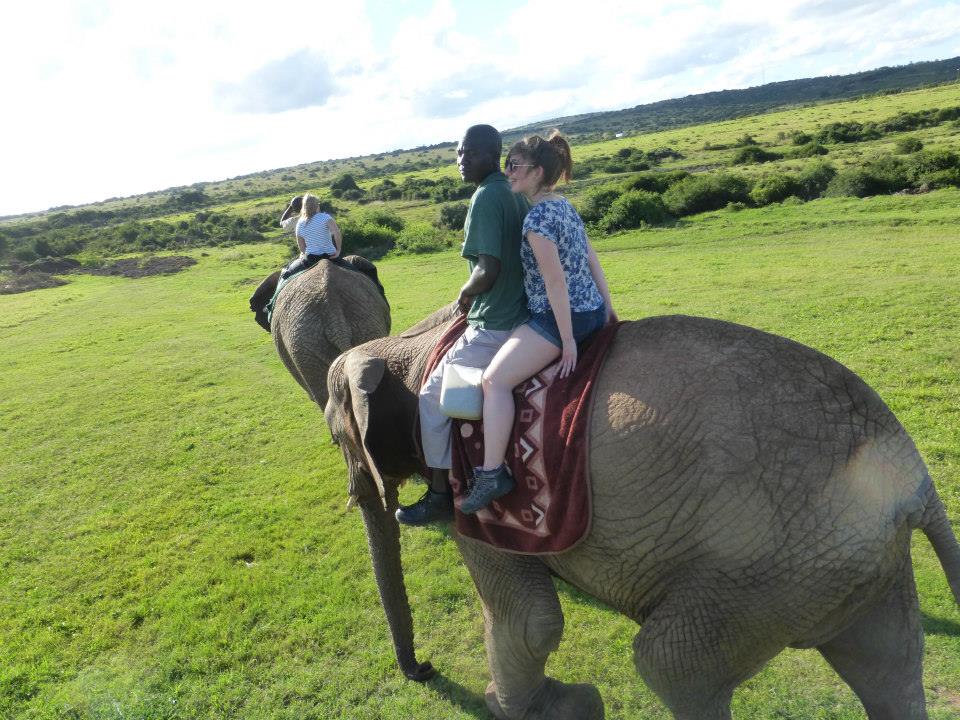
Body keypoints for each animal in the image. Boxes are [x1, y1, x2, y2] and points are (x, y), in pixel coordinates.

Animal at [323, 304, 960, 720]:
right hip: (849, 568)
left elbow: (528, 619)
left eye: (334, 437)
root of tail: (915, 480)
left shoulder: (475, 488)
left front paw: (515, 707)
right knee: (887, 666)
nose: (425, 671)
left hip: (774, 570)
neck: (410, 346)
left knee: (670, 665)